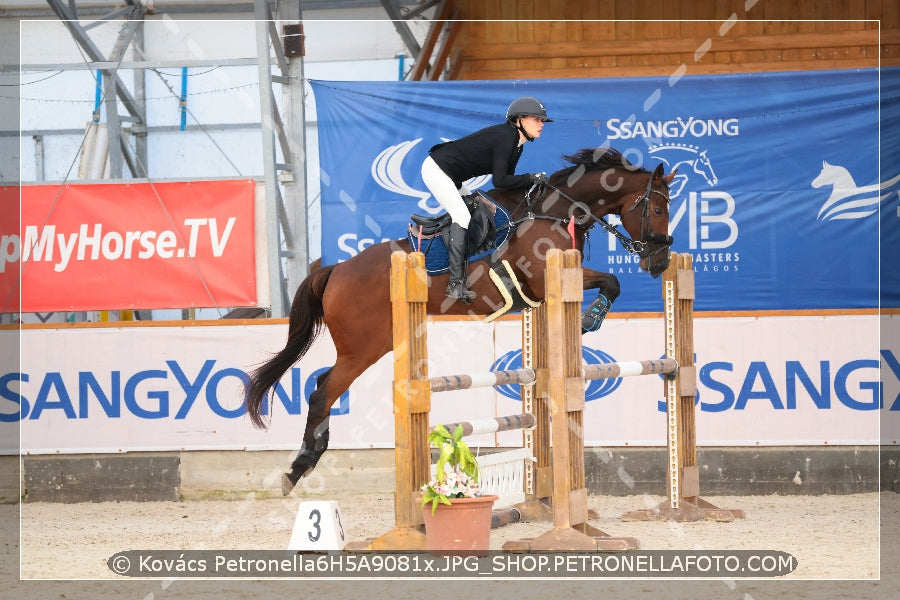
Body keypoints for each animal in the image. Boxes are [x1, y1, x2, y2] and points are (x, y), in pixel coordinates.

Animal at [243, 148, 672, 494]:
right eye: (657, 209)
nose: (660, 263)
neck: (553, 212)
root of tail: (335, 270)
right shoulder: (546, 276)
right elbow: (612, 281)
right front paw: (590, 319)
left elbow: (609, 283)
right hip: (365, 346)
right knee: (322, 392)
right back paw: (297, 468)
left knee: (321, 385)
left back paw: (310, 456)